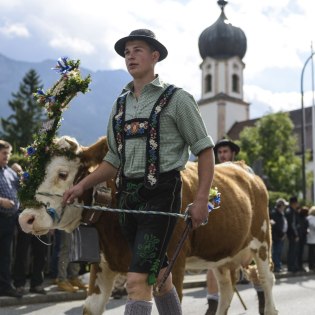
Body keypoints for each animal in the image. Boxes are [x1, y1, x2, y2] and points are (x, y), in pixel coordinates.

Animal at [18, 136, 278, 315]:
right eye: (27, 174)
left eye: (62, 174)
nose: (26, 218)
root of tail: (244, 169)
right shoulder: (102, 265)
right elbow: (91, 307)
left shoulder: (173, 264)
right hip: (221, 255)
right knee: (226, 289)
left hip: (262, 242)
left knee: (267, 280)